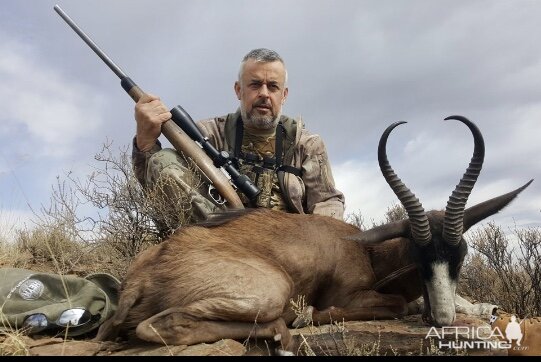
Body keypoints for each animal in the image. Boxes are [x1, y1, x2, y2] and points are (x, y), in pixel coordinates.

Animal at [95, 115, 528, 350]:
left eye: (460, 255)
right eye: (418, 255)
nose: (442, 316)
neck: (368, 251)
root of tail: (143, 274)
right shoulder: (350, 296)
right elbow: (394, 304)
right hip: (271, 291)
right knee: (159, 326)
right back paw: (285, 330)